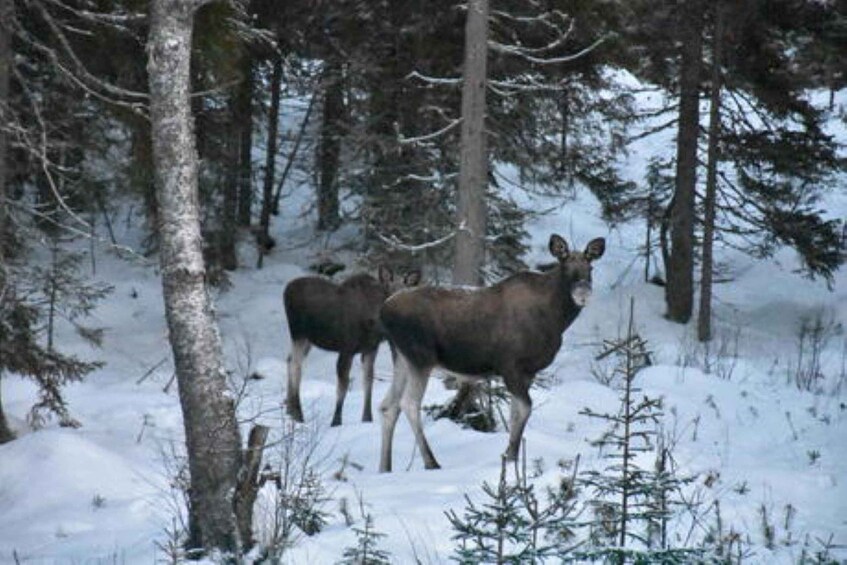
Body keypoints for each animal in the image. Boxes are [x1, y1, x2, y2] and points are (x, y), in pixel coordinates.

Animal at [284, 264, 420, 424]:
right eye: (389, 291)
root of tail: (287, 289)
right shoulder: (346, 348)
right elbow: (343, 386)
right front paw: (336, 421)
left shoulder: (370, 349)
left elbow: (368, 382)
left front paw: (367, 418)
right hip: (298, 333)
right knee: (296, 365)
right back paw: (298, 414)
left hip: (308, 340)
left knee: (289, 360)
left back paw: (289, 410)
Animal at [380, 234, 608, 472]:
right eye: (565, 267)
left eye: (590, 267)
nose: (583, 293)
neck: (556, 319)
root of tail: (384, 310)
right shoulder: (510, 366)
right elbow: (525, 408)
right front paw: (511, 457)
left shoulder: (528, 372)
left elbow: (515, 413)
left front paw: (510, 457)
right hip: (420, 357)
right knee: (408, 403)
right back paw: (431, 462)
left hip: (401, 357)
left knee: (388, 406)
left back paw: (385, 467)